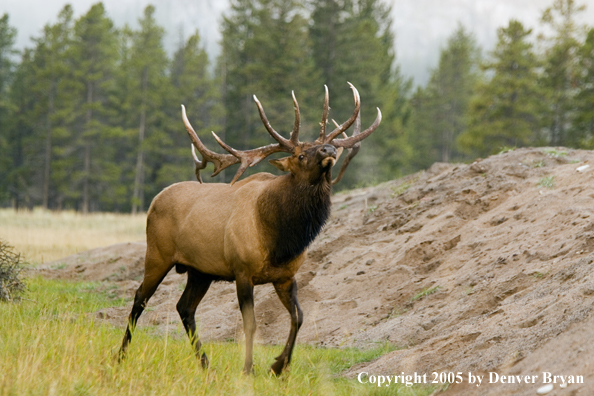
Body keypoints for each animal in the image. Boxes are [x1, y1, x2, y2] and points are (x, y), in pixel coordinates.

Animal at [118, 83, 382, 374]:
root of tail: (154, 200)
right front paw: (249, 369)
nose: (328, 150)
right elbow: (251, 324)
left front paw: (279, 366)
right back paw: (120, 356)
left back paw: (205, 364)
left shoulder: (285, 276)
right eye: (301, 155)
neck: (280, 240)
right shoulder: (242, 271)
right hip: (157, 254)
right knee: (139, 298)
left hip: (200, 271)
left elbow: (298, 317)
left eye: (327, 146)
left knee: (185, 308)